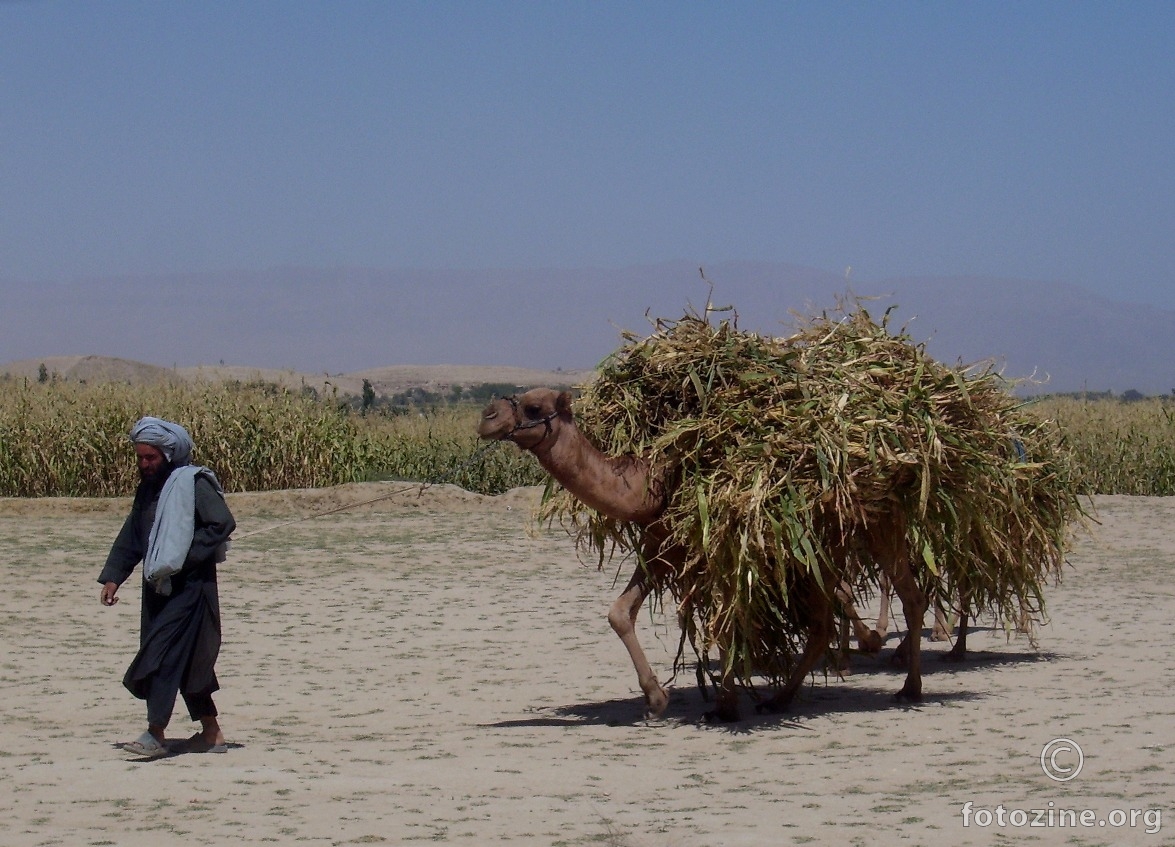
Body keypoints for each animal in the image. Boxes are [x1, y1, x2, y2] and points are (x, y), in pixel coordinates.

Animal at [474, 390, 925, 718]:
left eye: (533, 406)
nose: (487, 416)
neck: (650, 485)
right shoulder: (663, 547)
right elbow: (621, 613)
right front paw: (657, 700)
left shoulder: (717, 548)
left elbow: (722, 622)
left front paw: (723, 706)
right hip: (816, 550)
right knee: (825, 621)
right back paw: (782, 698)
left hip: (880, 529)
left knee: (908, 595)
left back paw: (908, 686)